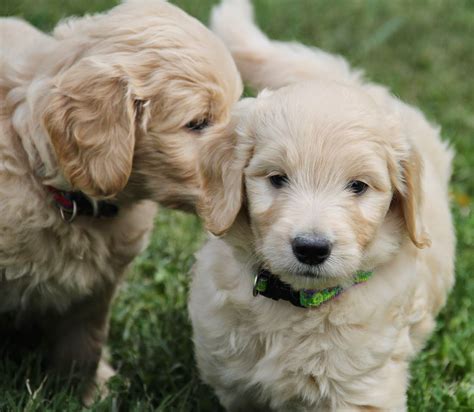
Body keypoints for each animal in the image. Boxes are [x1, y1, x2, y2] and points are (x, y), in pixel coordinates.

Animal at [189, 1, 456, 410]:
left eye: (358, 186)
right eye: (277, 179)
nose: (311, 249)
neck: (299, 304)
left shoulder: (363, 389)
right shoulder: (235, 384)